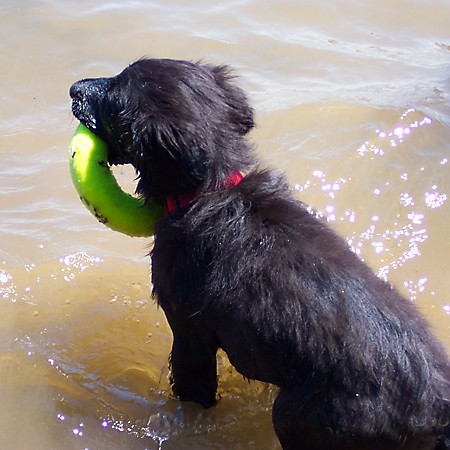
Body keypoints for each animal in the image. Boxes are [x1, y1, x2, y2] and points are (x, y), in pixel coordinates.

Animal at [71, 58, 450, 448]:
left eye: (114, 100)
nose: (73, 90)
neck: (211, 189)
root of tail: (437, 412)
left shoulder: (189, 333)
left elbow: (192, 390)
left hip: (296, 417)